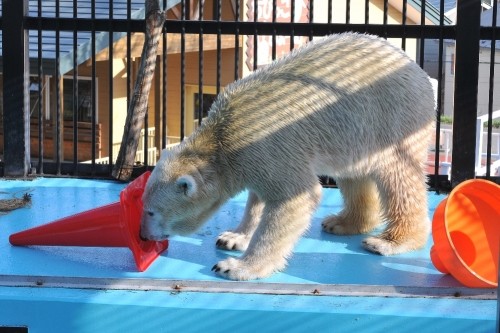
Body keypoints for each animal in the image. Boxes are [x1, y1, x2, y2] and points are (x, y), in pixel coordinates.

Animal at [140, 31, 434, 280]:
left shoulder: (264, 143)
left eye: (151, 211)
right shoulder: (254, 157)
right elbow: (258, 198)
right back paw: (342, 222)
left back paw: (389, 241)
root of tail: (420, 72)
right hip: (357, 134)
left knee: (398, 177)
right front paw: (233, 237)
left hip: (394, 118)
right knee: (354, 175)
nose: (143, 237)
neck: (221, 137)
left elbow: (294, 198)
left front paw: (236, 267)